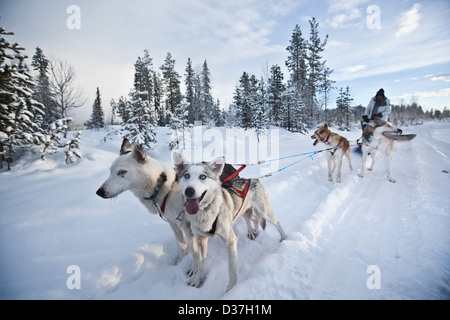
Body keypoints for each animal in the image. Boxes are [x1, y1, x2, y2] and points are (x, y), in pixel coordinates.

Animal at [171, 153, 284, 292]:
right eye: (186, 176)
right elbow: (201, 263)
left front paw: (231, 290)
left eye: (203, 176)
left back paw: (284, 239)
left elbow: (232, 270)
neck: (206, 212)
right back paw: (253, 231)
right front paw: (197, 280)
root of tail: (252, 179)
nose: (189, 191)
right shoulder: (201, 240)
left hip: (265, 212)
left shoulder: (230, 241)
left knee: (276, 222)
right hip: (245, 212)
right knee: (253, 219)